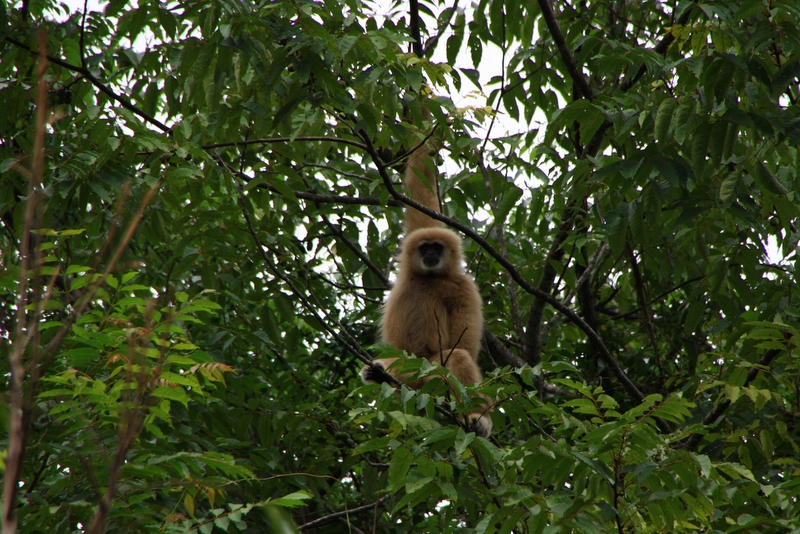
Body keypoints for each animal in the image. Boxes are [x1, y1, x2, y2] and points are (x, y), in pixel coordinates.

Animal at [361, 113, 492, 438]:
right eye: (424, 247)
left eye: (437, 248)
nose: (431, 254)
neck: (429, 277)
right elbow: (420, 187)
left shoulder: (464, 286)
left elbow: (464, 346)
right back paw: (378, 376)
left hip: (429, 371)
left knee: (456, 355)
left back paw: (477, 418)